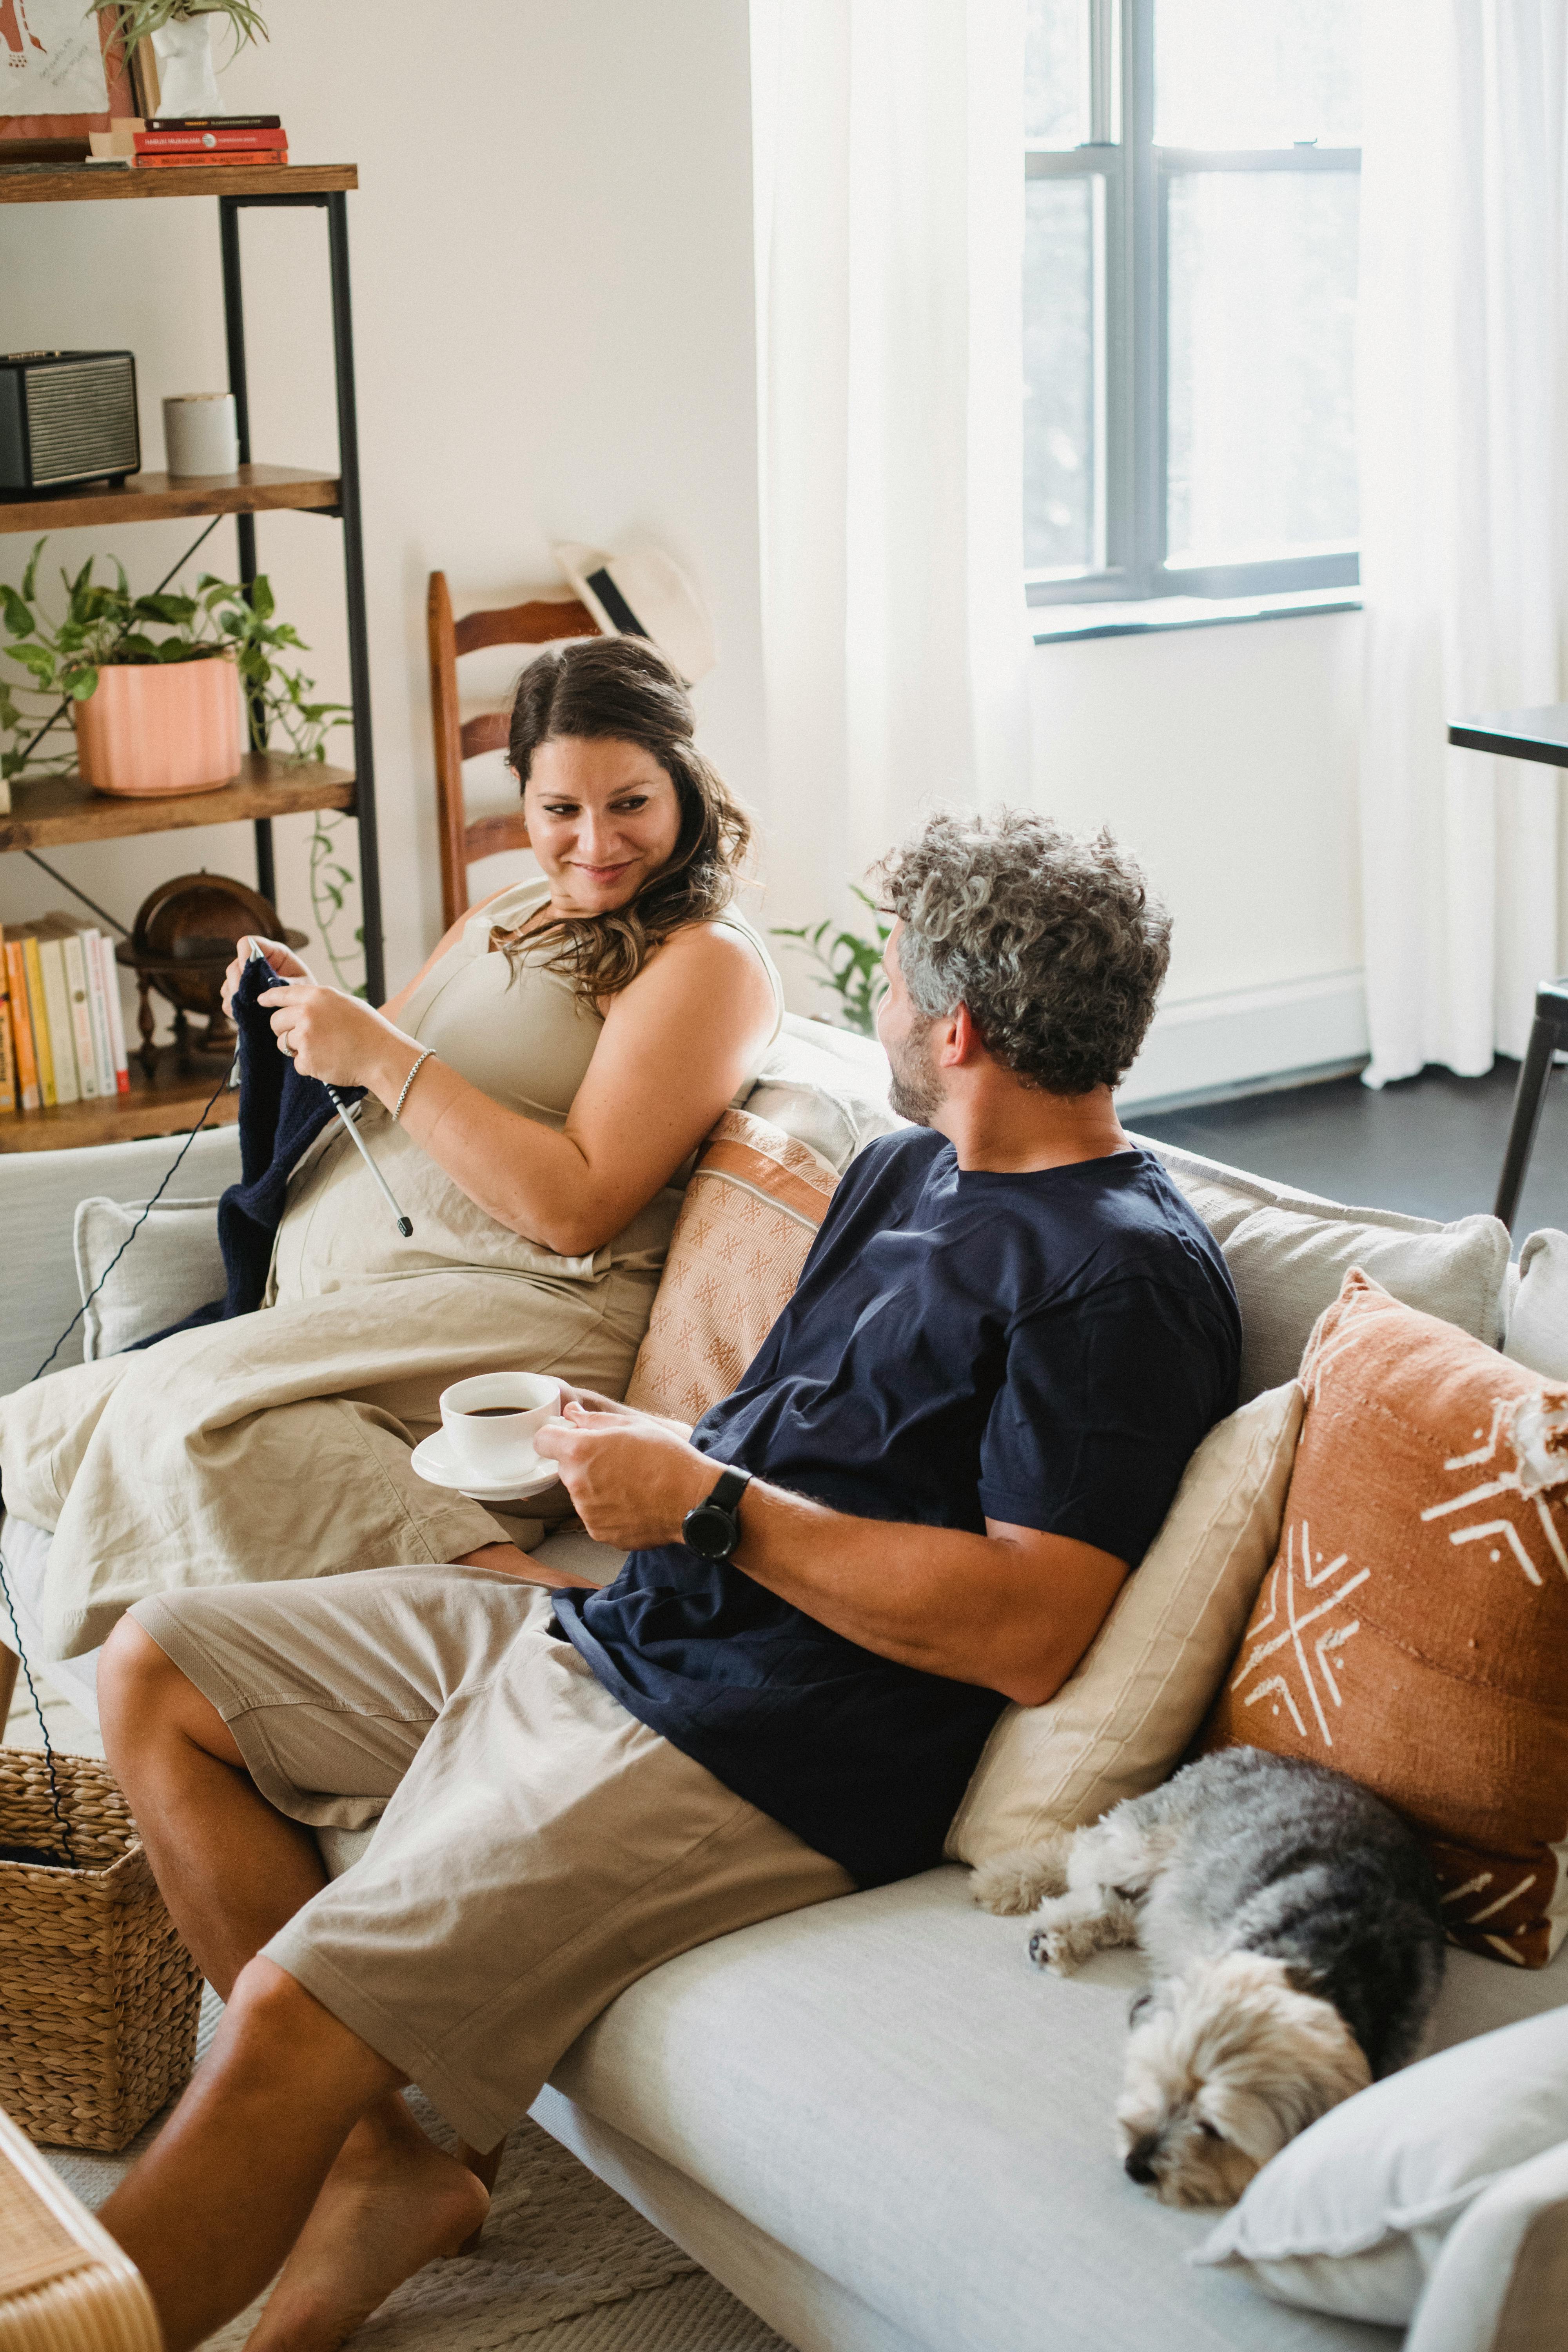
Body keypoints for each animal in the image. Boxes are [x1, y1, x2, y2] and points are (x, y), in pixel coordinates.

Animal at [973, 1750, 1457, 2201]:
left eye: (1216, 2131)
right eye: (1159, 2079)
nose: (1136, 2165)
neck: (1329, 1968)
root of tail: (1246, 1752)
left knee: (1117, 1907)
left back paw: (1056, 1938)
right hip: (1138, 1848)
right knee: (1080, 1852)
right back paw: (1008, 1886)